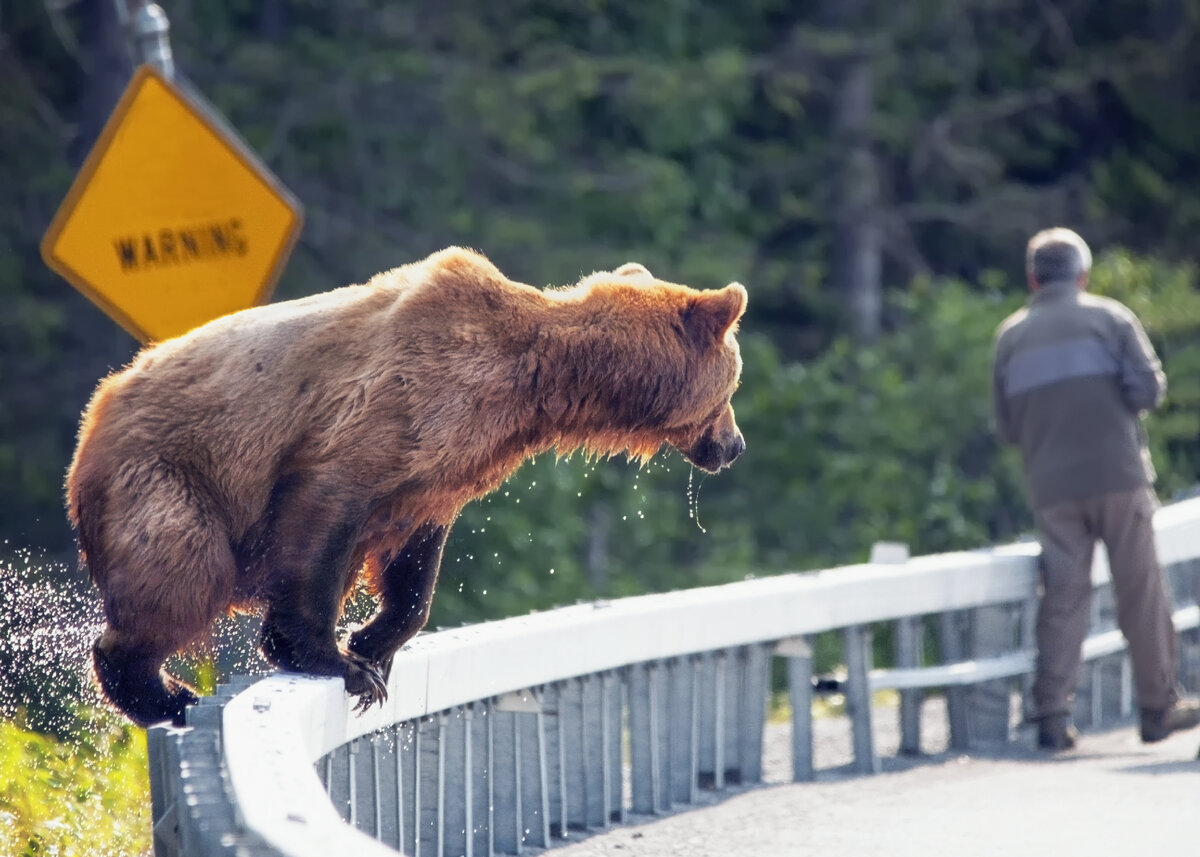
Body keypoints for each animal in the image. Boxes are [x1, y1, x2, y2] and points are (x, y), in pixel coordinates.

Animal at [65, 244, 744, 720]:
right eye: (734, 384)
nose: (734, 446)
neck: (534, 383)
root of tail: (92, 418)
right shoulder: (385, 411)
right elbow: (323, 516)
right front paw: (337, 661)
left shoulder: (445, 468)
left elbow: (414, 563)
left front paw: (373, 645)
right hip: (168, 477)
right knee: (180, 572)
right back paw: (166, 692)